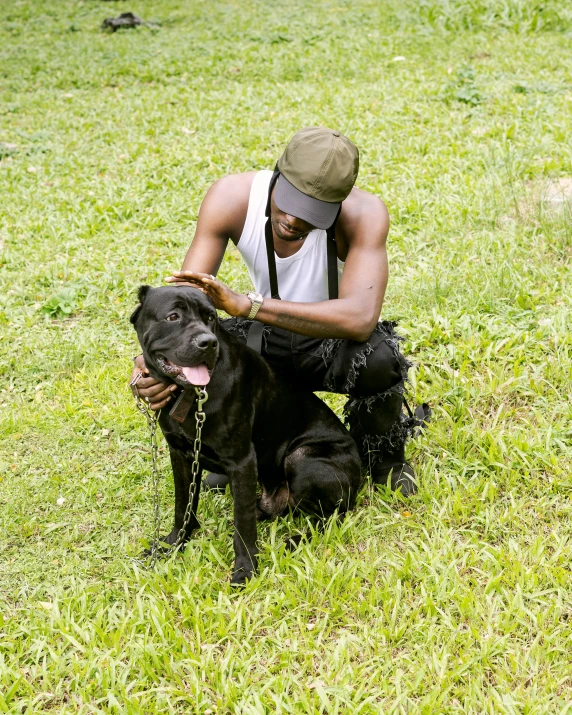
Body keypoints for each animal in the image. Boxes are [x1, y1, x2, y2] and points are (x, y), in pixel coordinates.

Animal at [130, 286, 362, 588]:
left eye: (210, 317)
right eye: (172, 317)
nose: (208, 343)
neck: (191, 395)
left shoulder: (241, 460)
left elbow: (242, 524)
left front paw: (245, 569)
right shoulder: (180, 454)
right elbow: (183, 506)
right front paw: (173, 544)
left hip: (302, 459)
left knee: (329, 517)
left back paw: (292, 541)